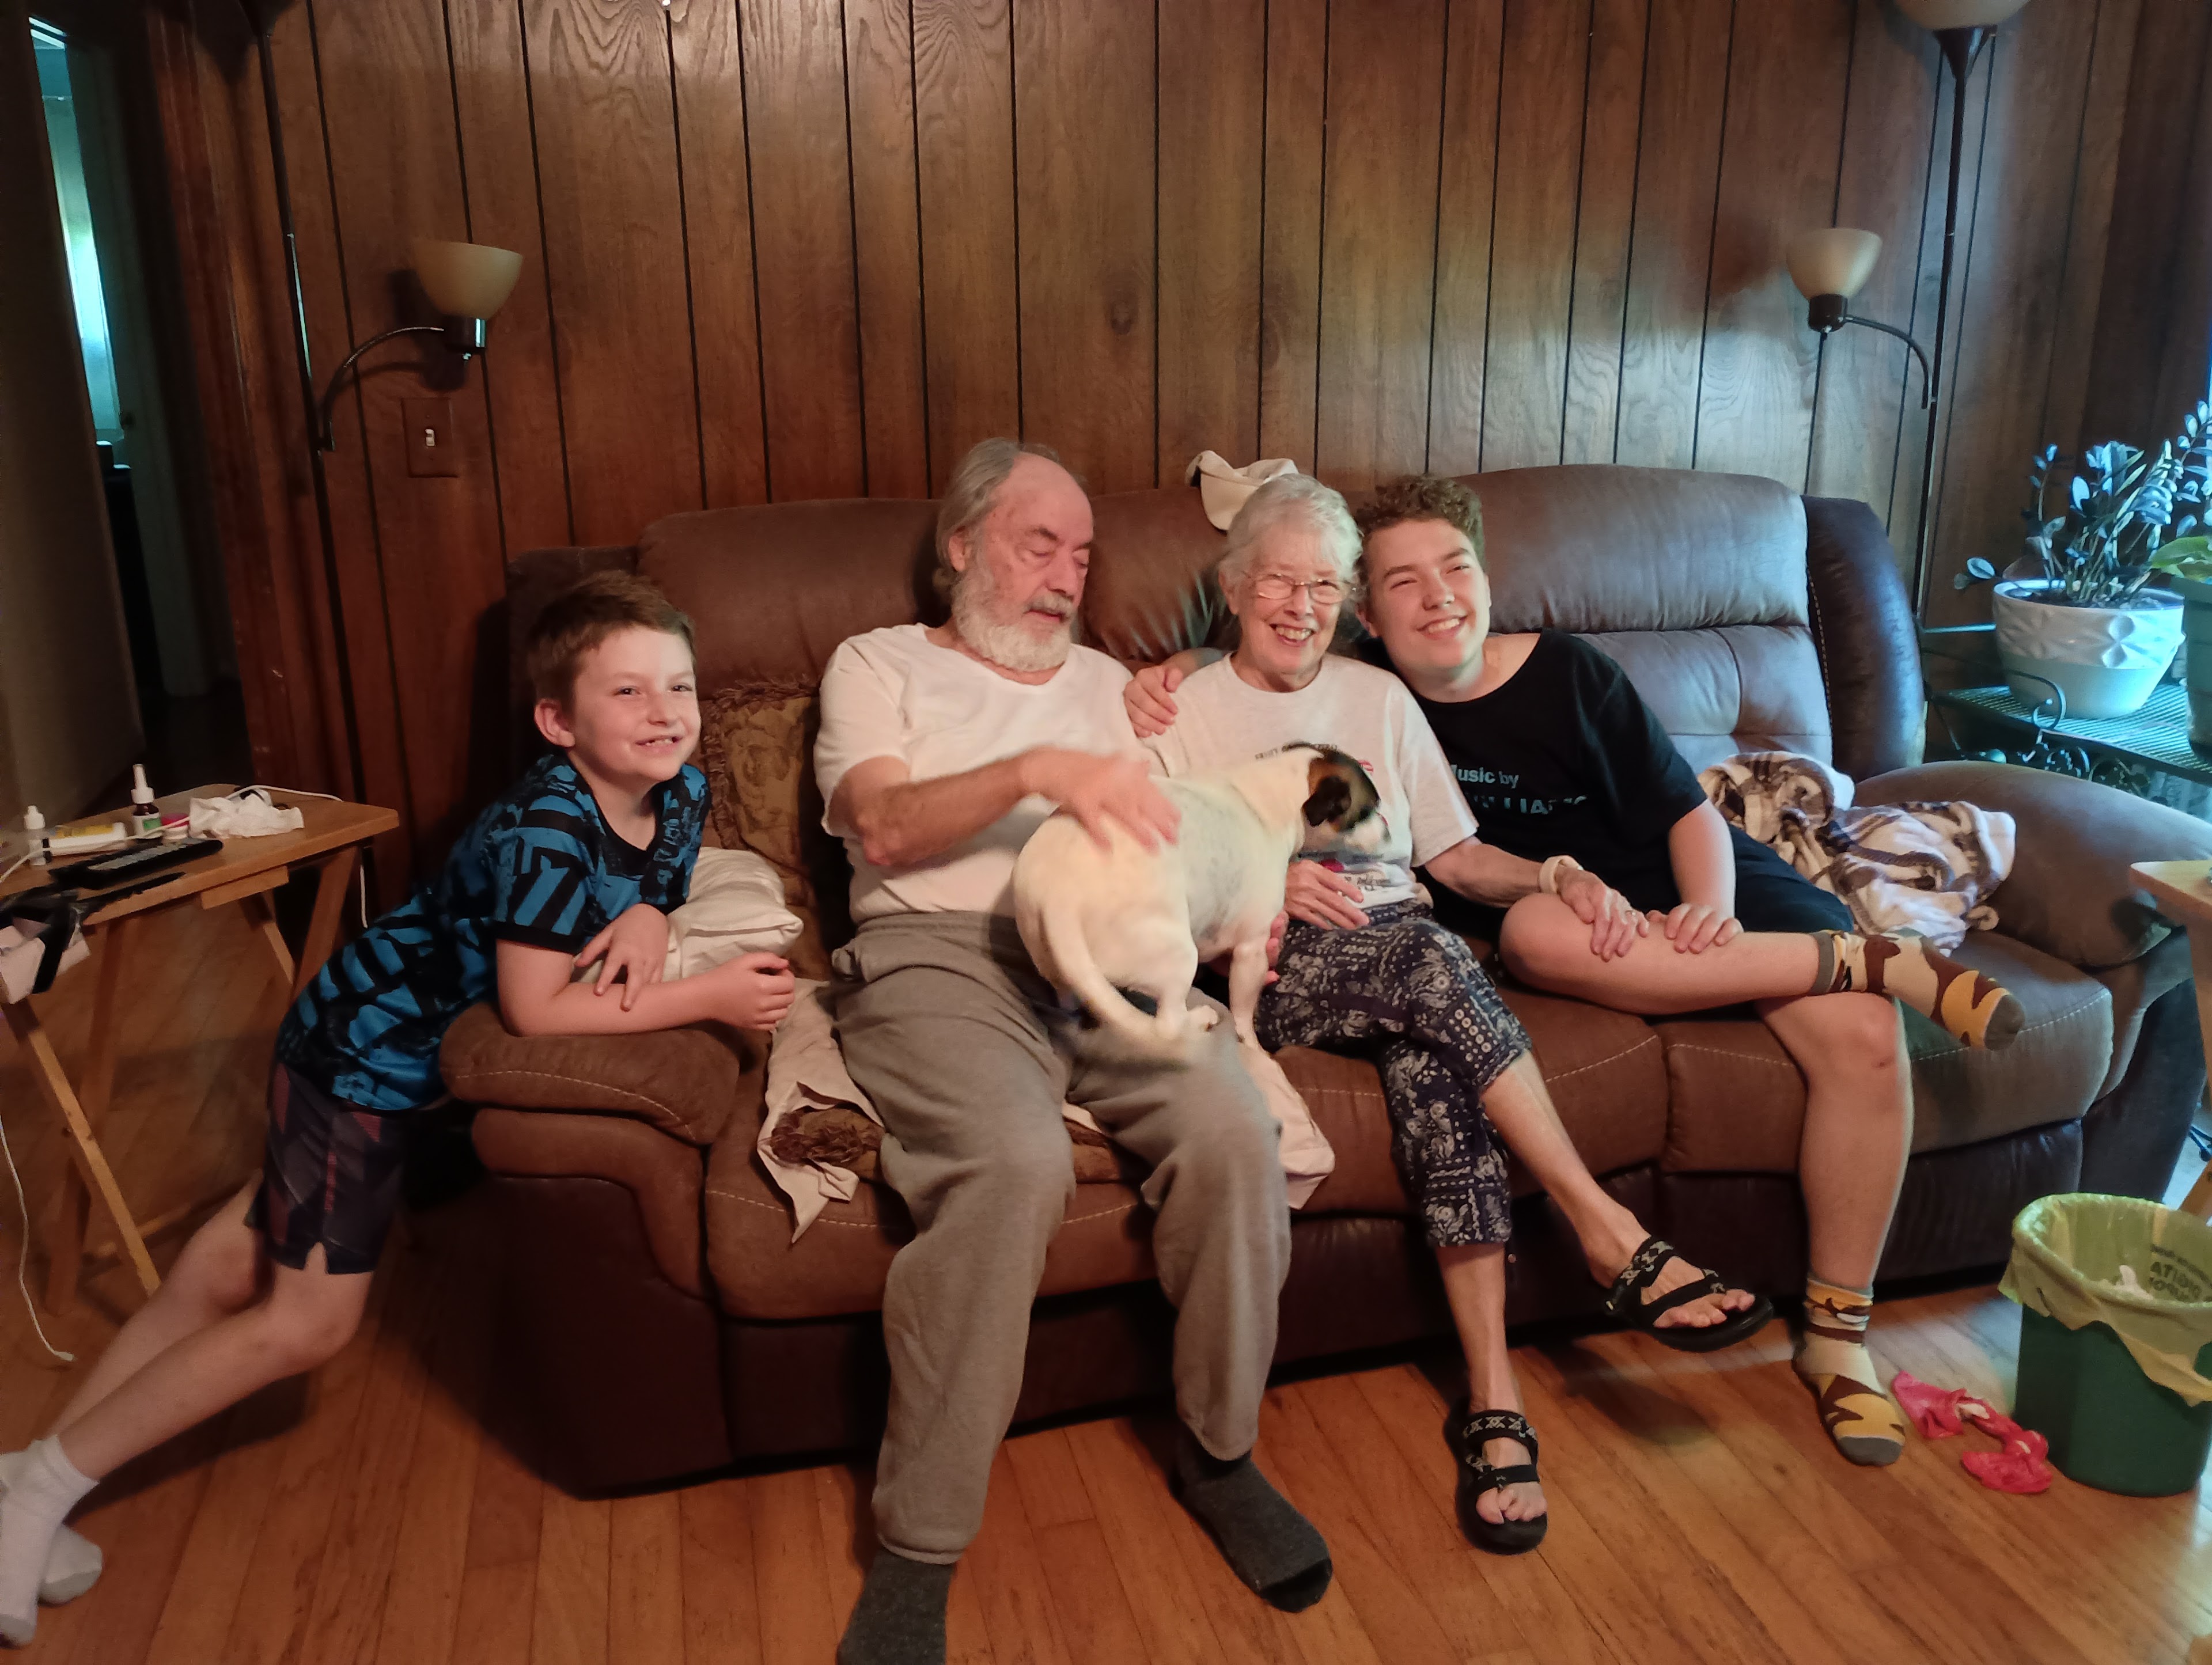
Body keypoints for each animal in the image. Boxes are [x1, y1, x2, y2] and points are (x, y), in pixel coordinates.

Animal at [1014, 744, 1385, 1058]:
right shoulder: (1252, 949)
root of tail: (1059, 897)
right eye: (1367, 811)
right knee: (1169, 1024)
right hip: (1178, 956)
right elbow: (1244, 1014)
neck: (1274, 794)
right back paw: (1201, 1019)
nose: (1389, 828)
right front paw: (1252, 1044)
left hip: (1058, 965)